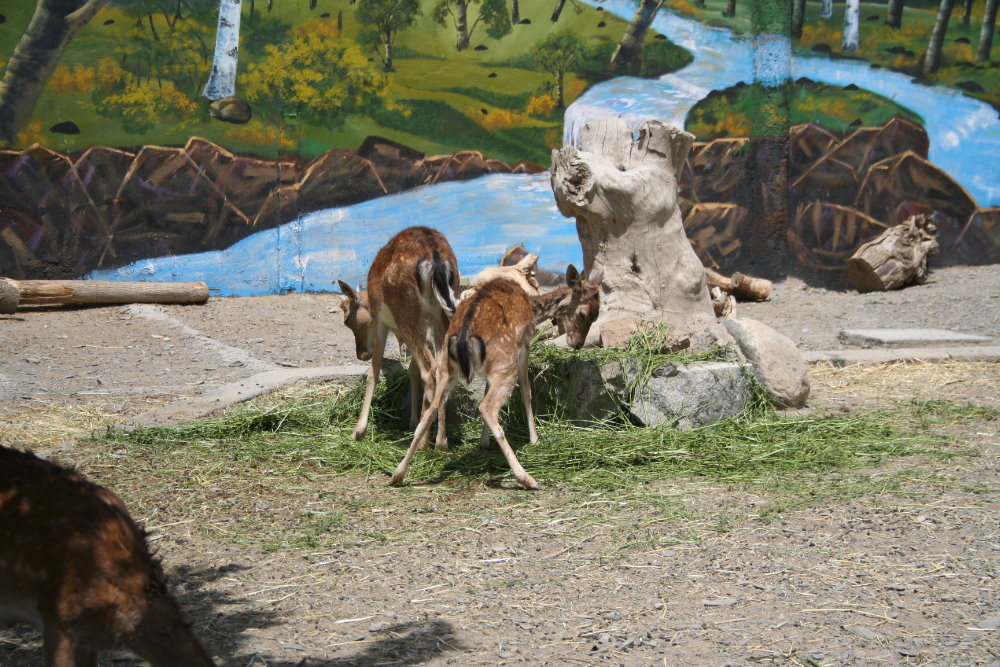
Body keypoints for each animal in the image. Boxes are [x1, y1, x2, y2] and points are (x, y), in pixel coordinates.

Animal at [338, 226, 461, 449]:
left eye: (347, 320)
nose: (361, 354)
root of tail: (435, 261)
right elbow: (411, 370)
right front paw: (412, 420)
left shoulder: (381, 322)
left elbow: (374, 372)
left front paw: (358, 431)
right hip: (441, 317)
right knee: (441, 370)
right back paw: (441, 442)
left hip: (407, 314)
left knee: (429, 370)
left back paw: (421, 442)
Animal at [389, 265, 602, 490]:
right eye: (583, 313)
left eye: (596, 315)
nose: (577, 344)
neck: (533, 308)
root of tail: (462, 340)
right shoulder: (524, 344)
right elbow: (526, 391)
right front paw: (534, 439)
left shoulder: (490, 371)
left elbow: (484, 390)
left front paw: (483, 442)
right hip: (505, 363)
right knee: (486, 407)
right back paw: (527, 479)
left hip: (447, 368)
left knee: (432, 409)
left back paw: (397, 475)